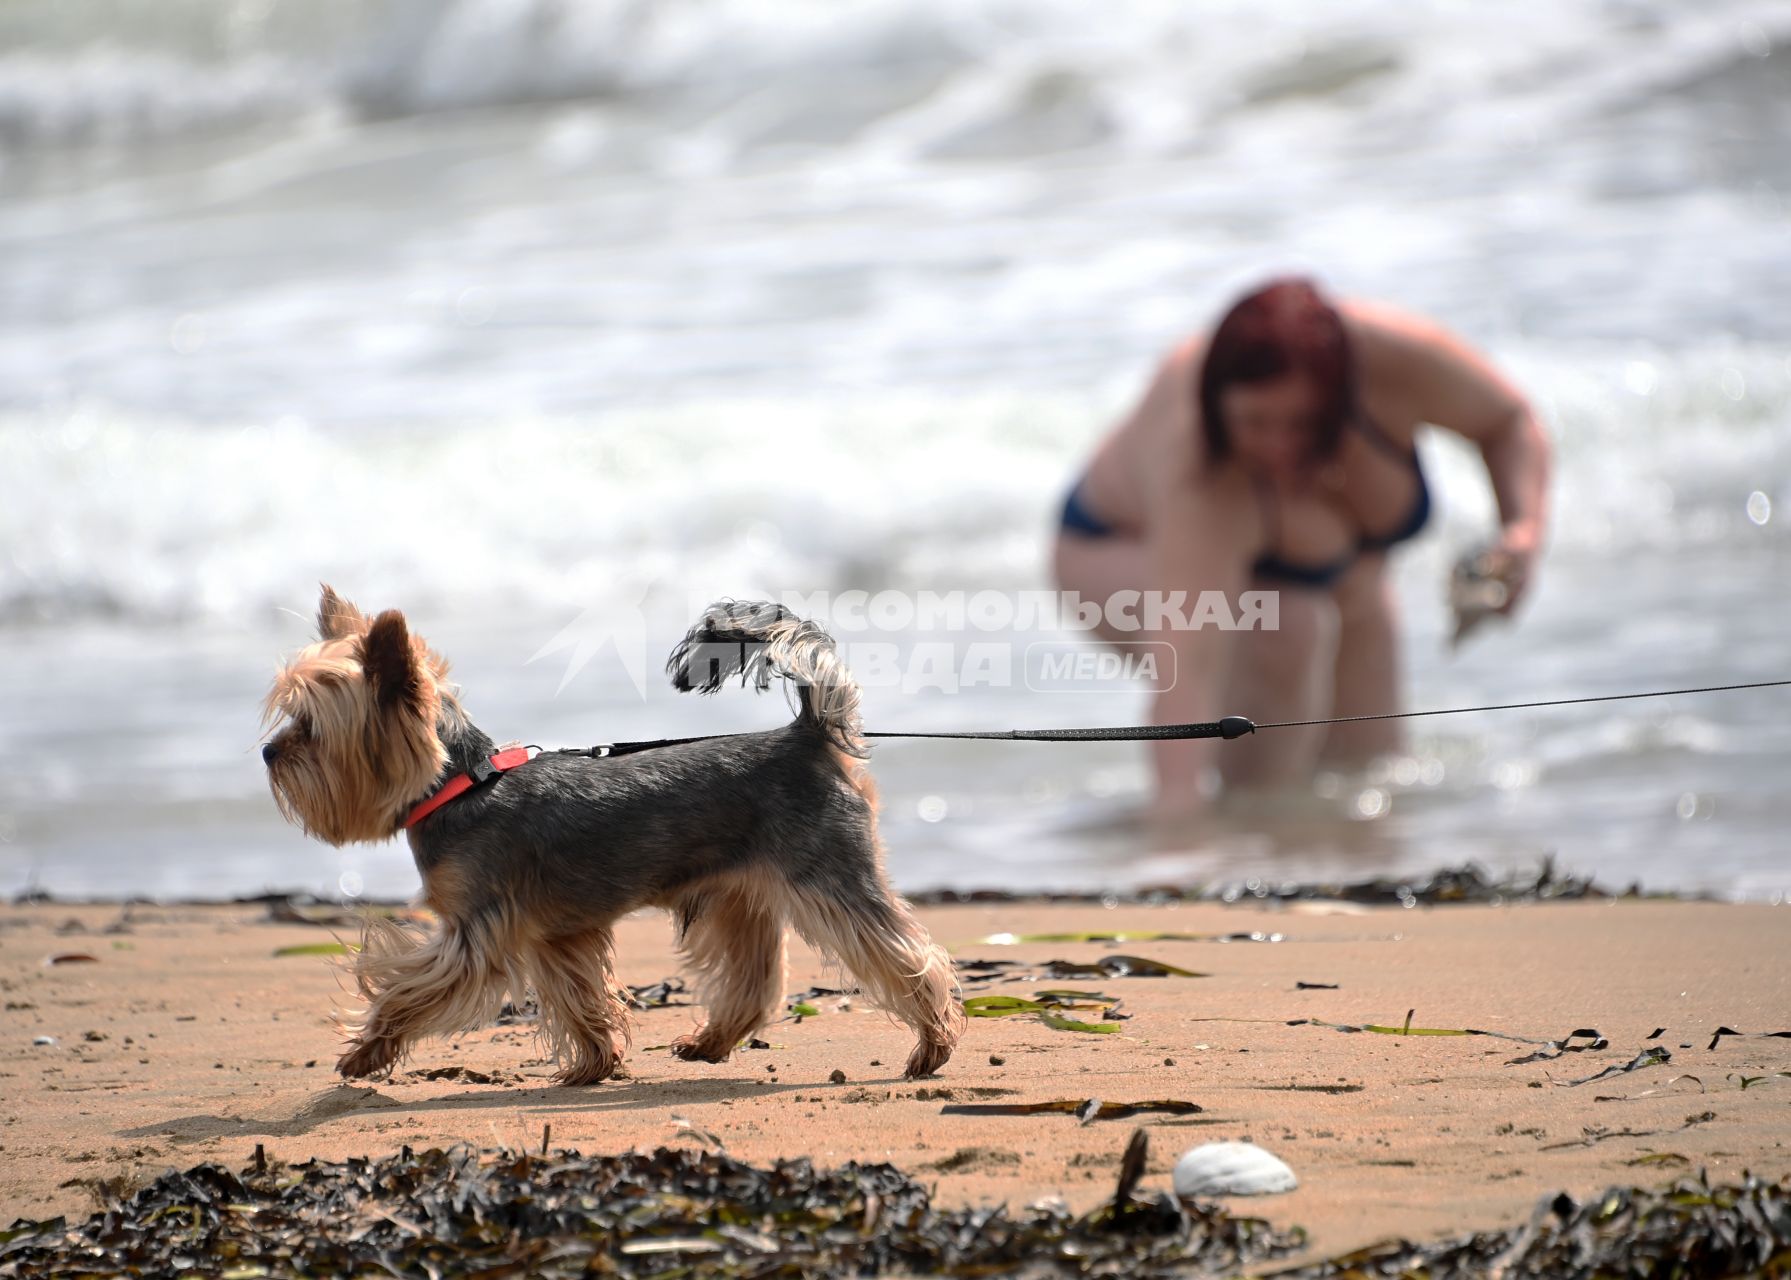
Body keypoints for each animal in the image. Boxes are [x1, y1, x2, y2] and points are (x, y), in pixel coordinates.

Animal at [261, 587, 967, 1081]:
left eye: (311, 730)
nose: (269, 751)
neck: (463, 785)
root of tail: (808, 736)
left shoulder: (478, 932)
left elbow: (407, 989)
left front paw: (365, 1051)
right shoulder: (556, 935)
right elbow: (580, 999)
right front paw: (596, 1064)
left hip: (829, 877)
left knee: (908, 954)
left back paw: (933, 1044)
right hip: (738, 893)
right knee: (755, 980)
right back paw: (709, 1043)